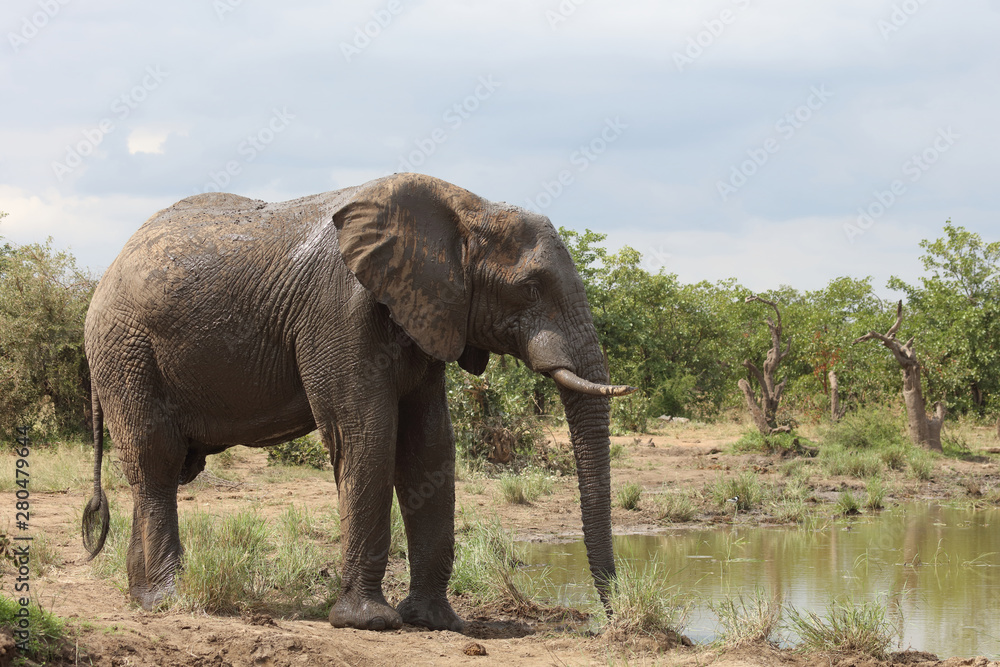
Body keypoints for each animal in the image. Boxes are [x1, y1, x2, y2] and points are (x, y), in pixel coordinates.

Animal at [82, 172, 633, 632]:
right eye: (530, 288)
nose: (603, 621)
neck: (465, 208)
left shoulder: (426, 316)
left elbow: (428, 448)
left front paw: (436, 622)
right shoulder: (339, 310)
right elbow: (366, 435)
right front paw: (369, 622)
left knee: (158, 471)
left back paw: (140, 598)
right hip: (126, 351)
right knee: (157, 461)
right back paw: (167, 600)